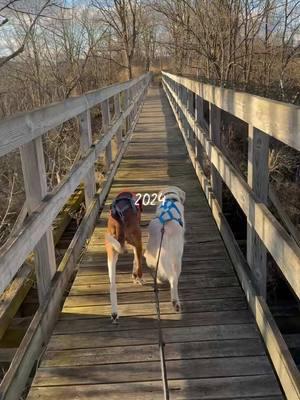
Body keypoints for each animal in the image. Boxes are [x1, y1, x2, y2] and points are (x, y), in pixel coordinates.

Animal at [105, 191, 144, 322]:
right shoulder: (137, 243)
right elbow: (137, 260)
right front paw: (136, 276)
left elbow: (135, 259)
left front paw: (134, 275)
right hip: (137, 240)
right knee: (139, 263)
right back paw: (139, 278)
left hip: (111, 253)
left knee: (112, 286)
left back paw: (114, 313)